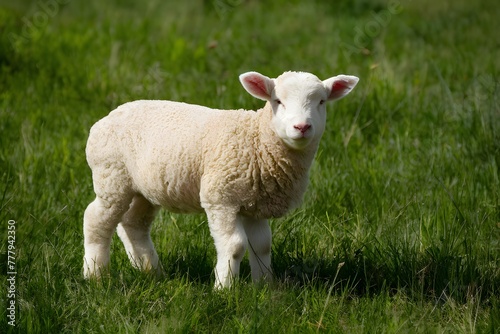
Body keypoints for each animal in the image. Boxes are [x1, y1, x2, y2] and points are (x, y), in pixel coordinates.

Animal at [85, 70, 360, 288]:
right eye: (278, 101)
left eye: (321, 102)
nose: (302, 127)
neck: (257, 140)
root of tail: (105, 119)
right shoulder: (221, 199)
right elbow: (235, 246)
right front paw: (224, 288)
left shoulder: (255, 204)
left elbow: (262, 246)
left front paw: (264, 288)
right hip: (111, 176)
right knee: (96, 220)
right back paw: (95, 274)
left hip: (144, 188)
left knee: (133, 224)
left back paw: (151, 271)